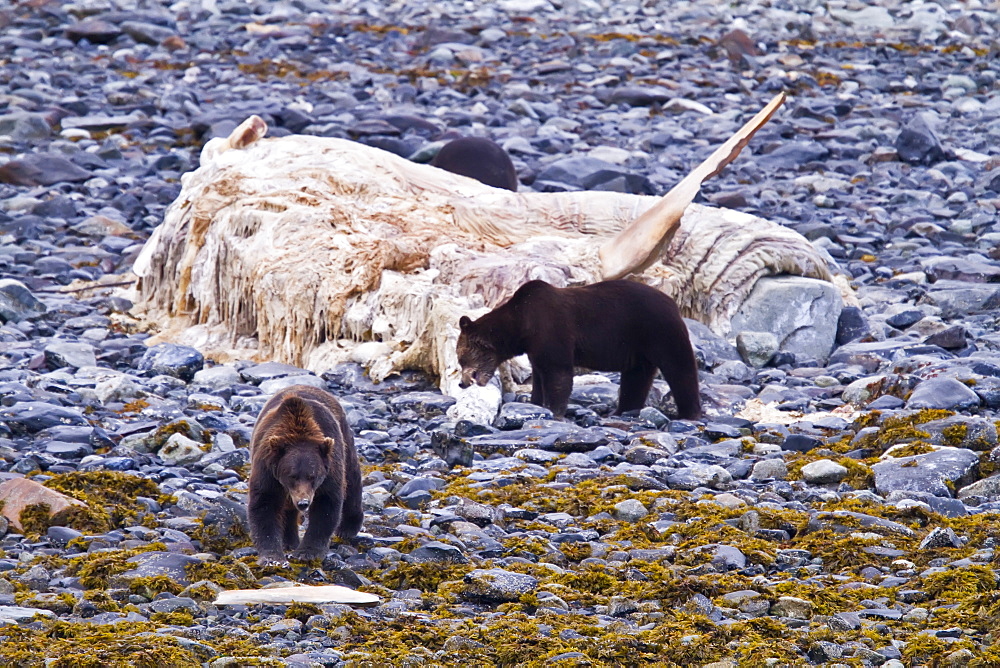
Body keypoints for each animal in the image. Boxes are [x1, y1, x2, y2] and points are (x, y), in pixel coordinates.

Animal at [247, 386, 364, 564]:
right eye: (292, 475)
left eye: (312, 476)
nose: (303, 502)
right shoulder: (267, 469)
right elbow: (264, 504)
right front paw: (273, 557)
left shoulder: (329, 469)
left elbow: (326, 504)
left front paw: (307, 552)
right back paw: (289, 540)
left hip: (344, 440)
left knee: (351, 479)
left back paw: (348, 527)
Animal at [458, 280, 700, 420]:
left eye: (461, 358)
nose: (462, 383)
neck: (521, 325)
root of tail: (673, 304)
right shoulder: (535, 347)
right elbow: (539, 375)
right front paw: (535, 402)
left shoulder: (552, 330)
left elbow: (558, 373)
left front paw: (556, 411)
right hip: (639, 346)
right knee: (636, 377)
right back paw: (621, 411)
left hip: (657, 330)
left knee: (679, 368)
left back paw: (689, 413)